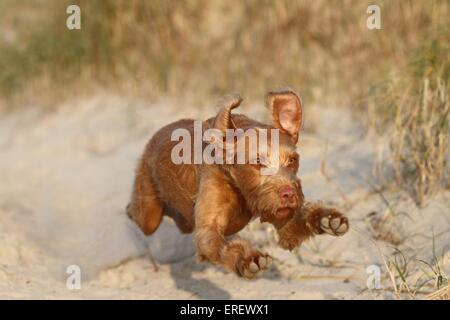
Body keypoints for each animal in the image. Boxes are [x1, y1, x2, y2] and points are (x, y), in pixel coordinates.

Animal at [126, 89, 348, 278]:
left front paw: (327, 219)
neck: (239, 187)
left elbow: (296, 225)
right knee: (137, 213)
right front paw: (248, 259)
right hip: (149, 214)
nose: (289, 193)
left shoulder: (282, 220)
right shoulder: (208, 230)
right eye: (257, 162)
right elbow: (224, 246)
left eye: (292, 160)